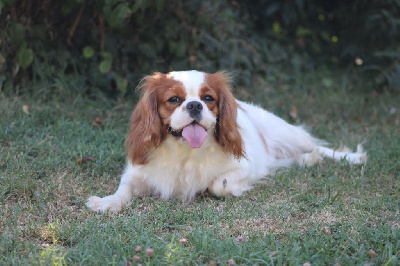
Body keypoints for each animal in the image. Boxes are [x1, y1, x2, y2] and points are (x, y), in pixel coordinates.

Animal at [86, 70, 368, 212]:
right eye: (174, 100)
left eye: (208, 98)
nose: (195, 105)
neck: (185, 151)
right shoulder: (137, 172)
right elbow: (123, 190)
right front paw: (107, 202)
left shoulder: (246, 167)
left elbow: (217, 185)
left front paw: (230, 189)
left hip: (289, 134)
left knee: (316, 146)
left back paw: (352, 157)